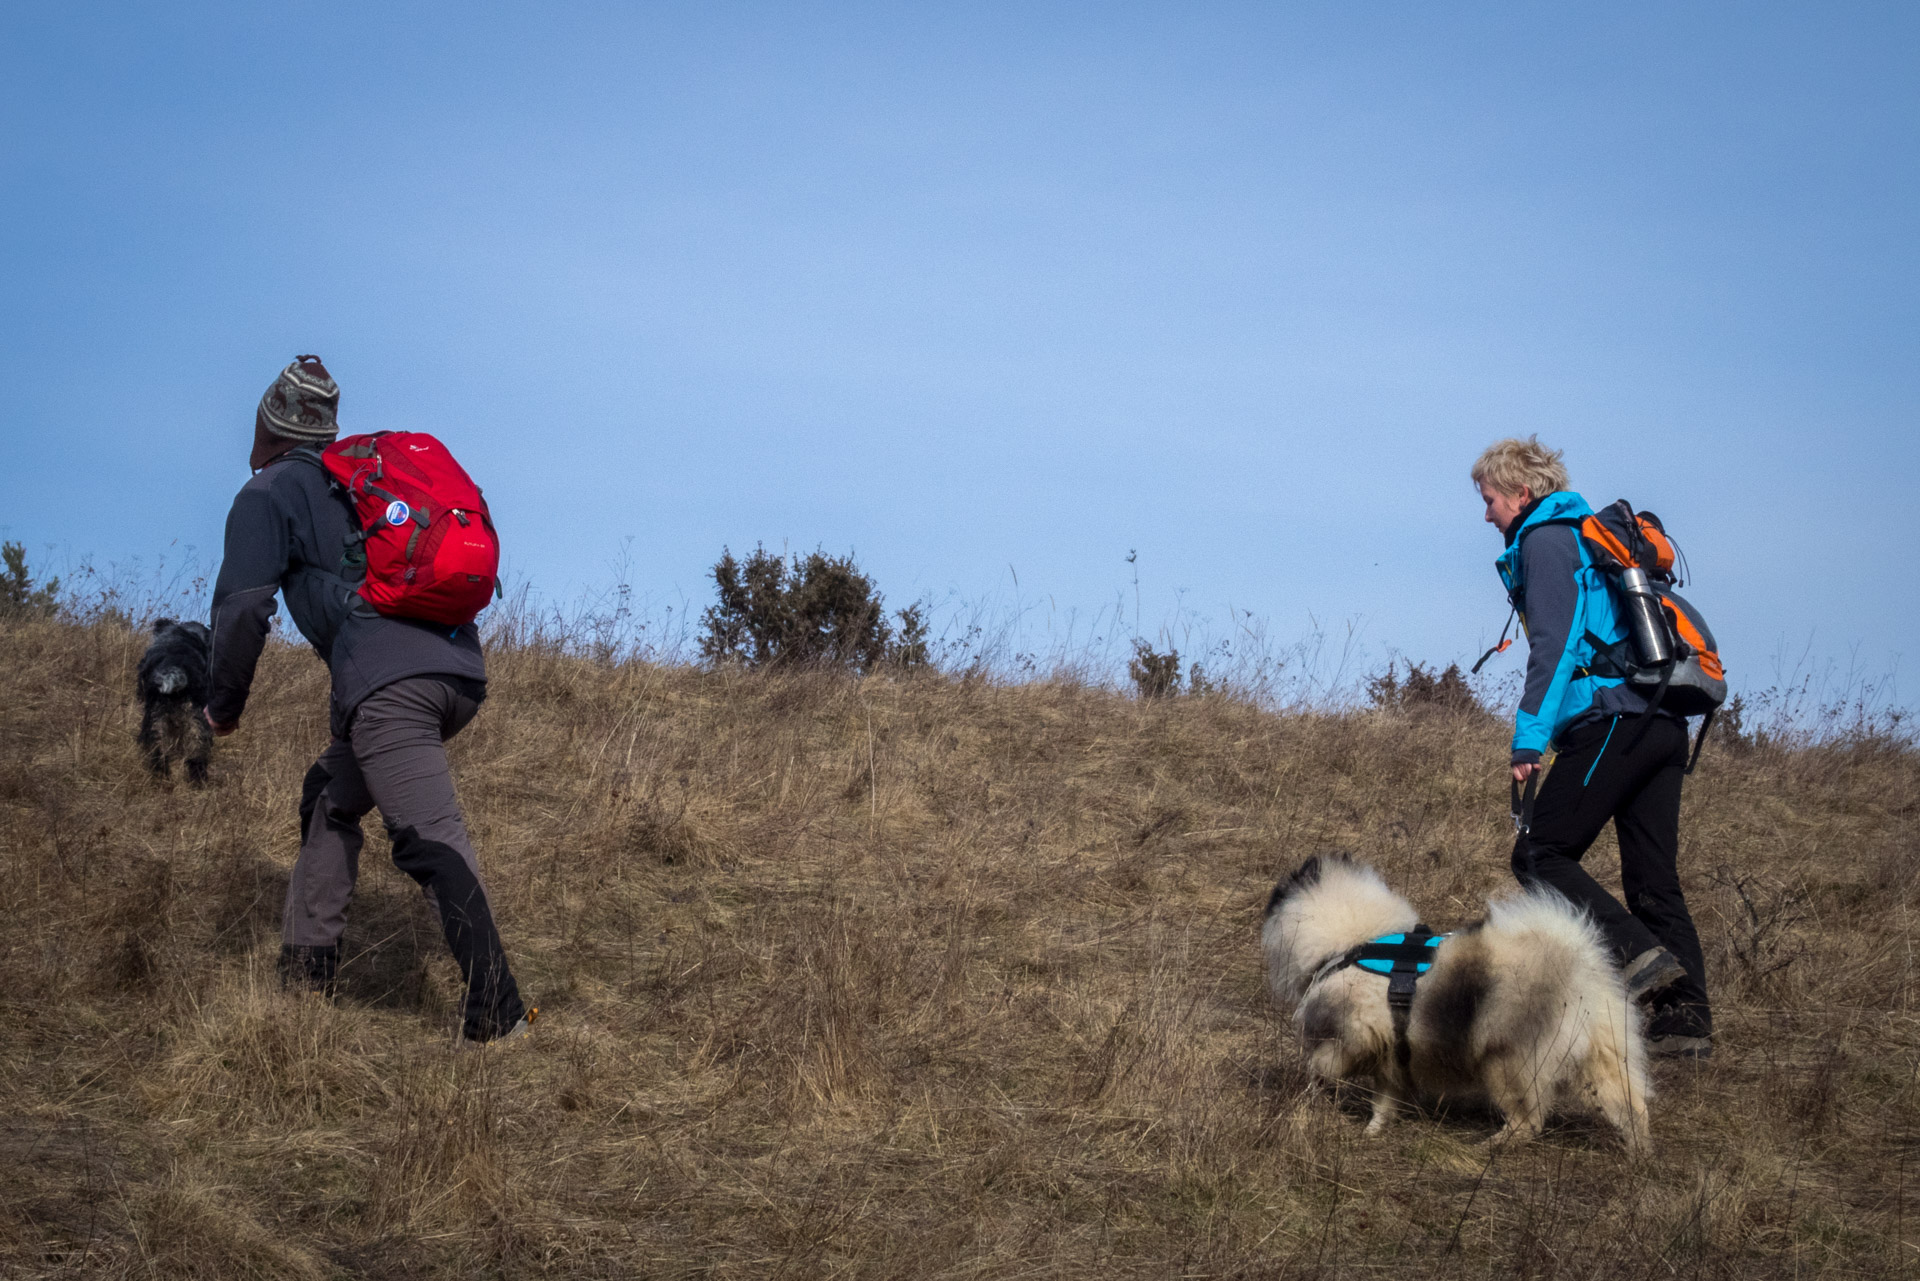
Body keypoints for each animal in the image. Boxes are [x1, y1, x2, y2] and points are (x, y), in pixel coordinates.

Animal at [1259, 852, 1651, 1152]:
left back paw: (1492, 1145)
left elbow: (1323, 1062)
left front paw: (1314, 1088)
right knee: (1631, 1104)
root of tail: (1576, 966)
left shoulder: (1354, 1031)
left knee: (1529, 1120)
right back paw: (1638, 1152)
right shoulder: (1391, 1056)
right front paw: (1373, 1130)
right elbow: (1384, 1099)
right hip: (1604, 1054)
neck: (1354, 941)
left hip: (1506, 1063)